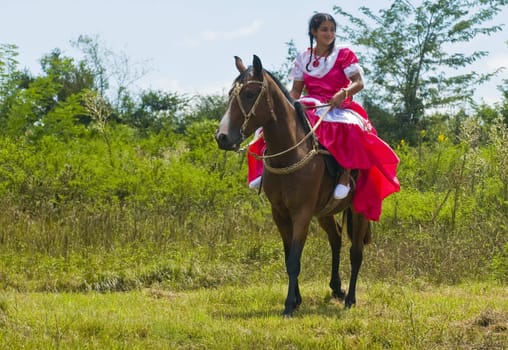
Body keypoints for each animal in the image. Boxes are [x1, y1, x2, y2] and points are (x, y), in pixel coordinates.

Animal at [214, 55, 370, 318]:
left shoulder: (301, 213)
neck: (290, 154)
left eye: (249, 94)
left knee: (356, 251)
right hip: (324, 212)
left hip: (358, 210)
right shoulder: (280, 213)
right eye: (229, 94)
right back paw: (336, 288)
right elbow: (288, 256)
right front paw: (296, 300)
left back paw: (350, 298)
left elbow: (295, 258)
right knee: (336, 238)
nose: (222, 137)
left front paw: (289, 305)